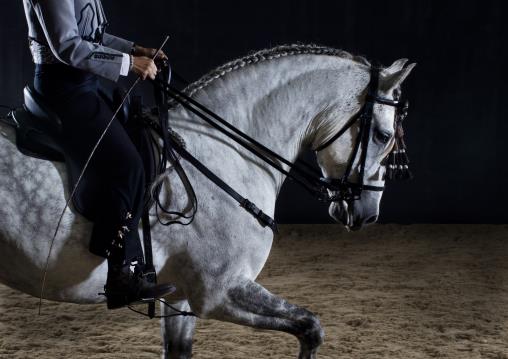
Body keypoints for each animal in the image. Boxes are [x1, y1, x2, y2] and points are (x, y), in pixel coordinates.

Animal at [0, 45, 414, 359]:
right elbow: (311, 327)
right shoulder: (219, 291)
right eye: (382, 135)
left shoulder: (182, 299)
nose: (368, 214)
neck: (222, 150)